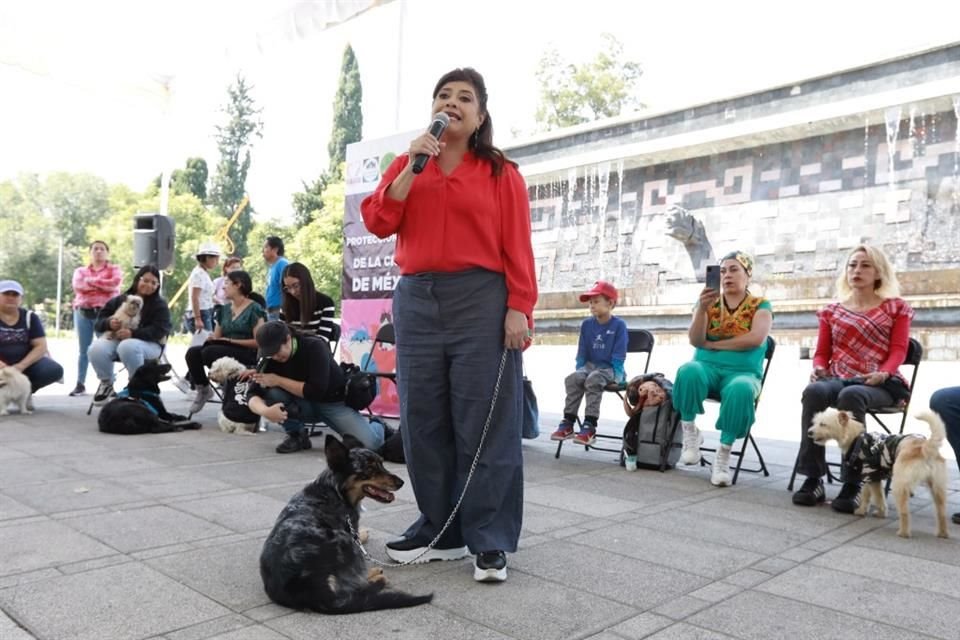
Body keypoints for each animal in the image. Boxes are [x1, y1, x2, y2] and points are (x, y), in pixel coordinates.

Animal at [258, 436, 432, 616]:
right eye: (370, 468)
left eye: (382, 463)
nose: (402, 482)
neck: (335, 491)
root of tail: (315, 593)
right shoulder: (350, 528)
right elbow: (357, 538)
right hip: (343, 539)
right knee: (356, 583)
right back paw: (375, 575)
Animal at [808, 408, 948, 536]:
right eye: (816, 422)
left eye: (823, 424)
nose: (809, 432)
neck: (856, 438)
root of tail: (925, 447)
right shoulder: (873, 477)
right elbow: (876, 496)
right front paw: (878, 512)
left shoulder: (868, 474)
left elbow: (870, 496)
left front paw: (864, 511)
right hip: (937, 488)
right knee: (941, 512)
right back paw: (942, 533)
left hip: (899, 487)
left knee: (904, 512)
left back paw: (903, 533)